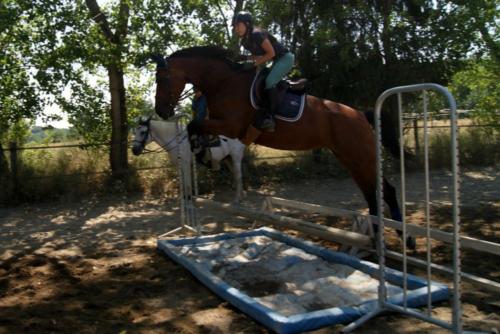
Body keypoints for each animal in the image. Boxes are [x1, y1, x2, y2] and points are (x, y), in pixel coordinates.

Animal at [151, 45, 414, 248]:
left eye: (161, 79)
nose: (161, 111)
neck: (223, 82)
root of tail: (360, 114)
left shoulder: (231, 126)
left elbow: (194, 125)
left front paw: (203, 153)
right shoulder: (220, 125)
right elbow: (195, 128)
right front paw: (204, 153)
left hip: (360, 156)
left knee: (386, 191)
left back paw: (402, 239)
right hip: (350, 159)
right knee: (373, 193)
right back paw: (382, 239)